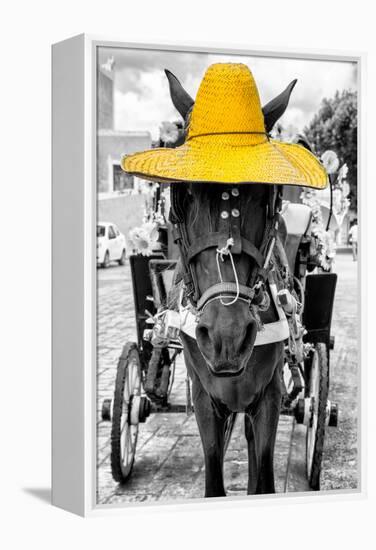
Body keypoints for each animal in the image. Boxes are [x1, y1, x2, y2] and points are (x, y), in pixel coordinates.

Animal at [166, 70, 298, 500]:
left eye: (268, 194)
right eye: (182, 193)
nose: (228, 336)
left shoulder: (269, 395)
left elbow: (264, 478)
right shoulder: (204, 398)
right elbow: (214, 478)